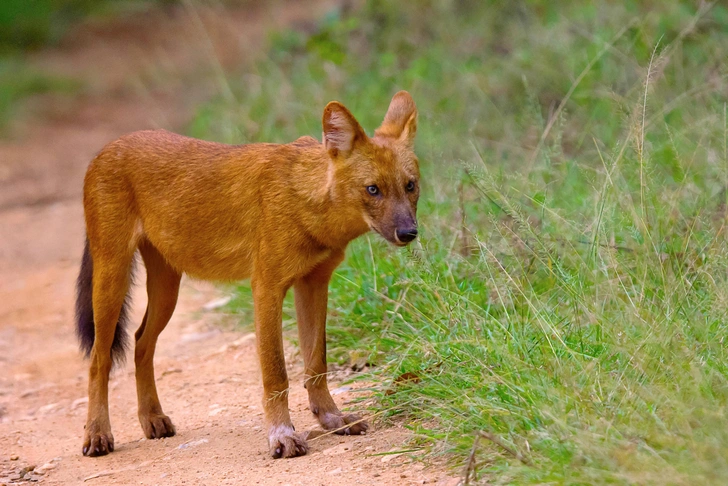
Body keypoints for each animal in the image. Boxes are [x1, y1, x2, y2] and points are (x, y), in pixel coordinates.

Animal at [76, 92, 418, 460]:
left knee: (141, 343)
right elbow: (276, 372)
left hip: (167, 289)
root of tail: (107, 147)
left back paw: (152, 419)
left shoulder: (314, 283)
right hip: (112, 277)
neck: (307, 202)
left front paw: (332, 419)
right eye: (373, 189)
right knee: (99, 358)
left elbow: (316, 363)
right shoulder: (267, 287)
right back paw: (97, 434)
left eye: (410, 186)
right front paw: (282, 437)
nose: (409, 232)